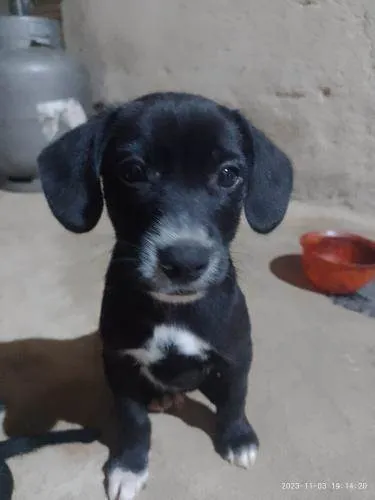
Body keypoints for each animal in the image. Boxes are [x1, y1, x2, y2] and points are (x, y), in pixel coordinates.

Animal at [37, 92, 294, 498]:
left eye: (228, 174)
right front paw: (129, 466)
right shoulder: (121, 365)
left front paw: (238, 439)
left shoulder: (236, 355)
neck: (174, 310)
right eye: (132, 172)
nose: (185, 262)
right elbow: (134, 420)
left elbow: (235, 399)